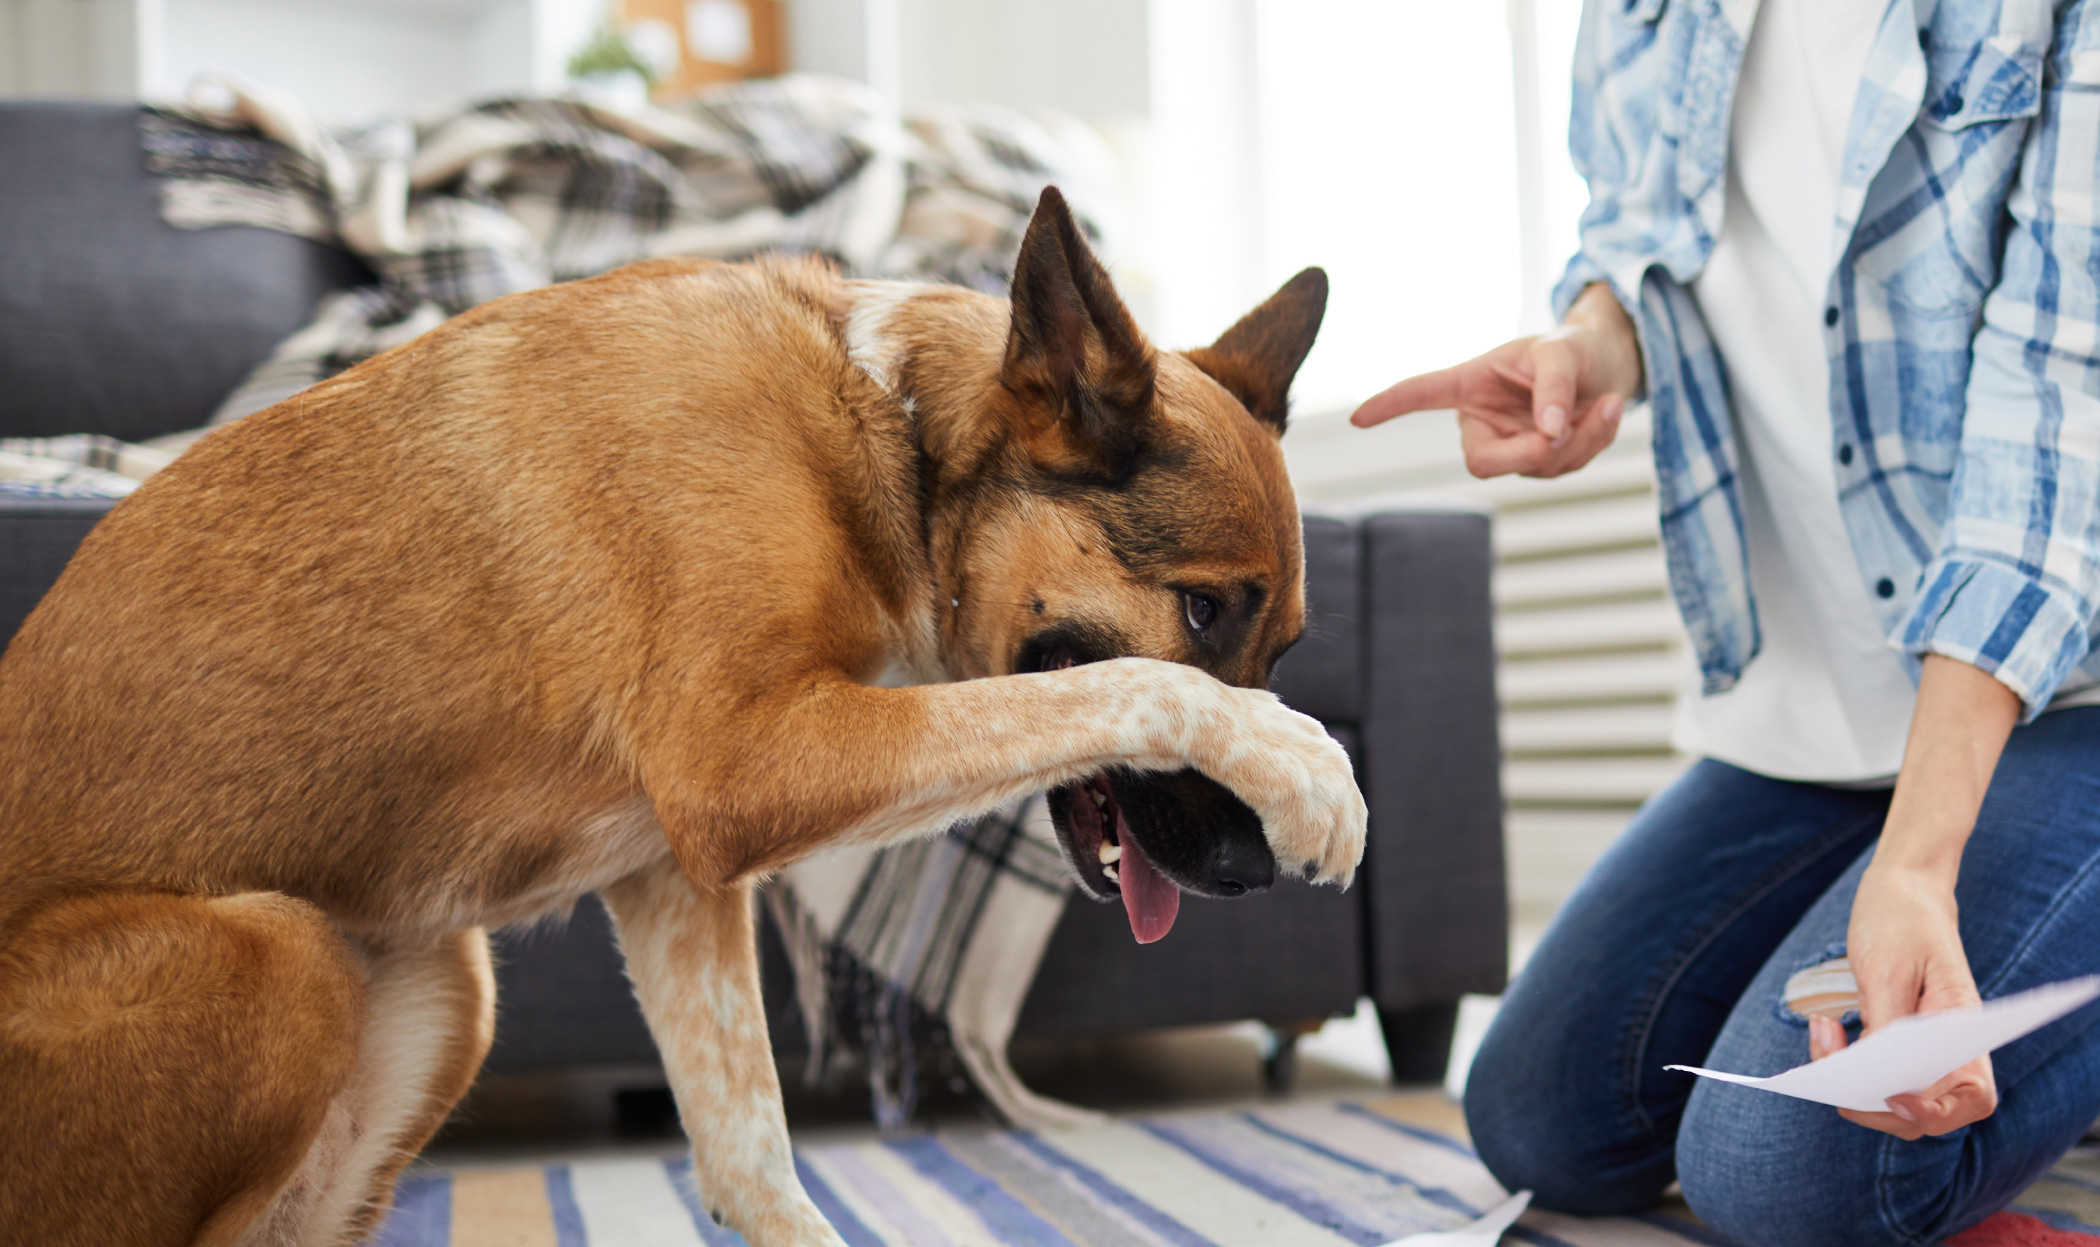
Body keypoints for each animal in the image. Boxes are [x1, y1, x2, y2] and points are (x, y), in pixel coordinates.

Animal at [0, 186, 1360, 1242]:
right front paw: (1307, 768)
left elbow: (750, 1151)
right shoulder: (742, 765)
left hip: (443, 982)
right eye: (1202, 611)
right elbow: (1119, 685)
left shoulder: (672, 877)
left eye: (1286, 644)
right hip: (283, 955)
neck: (889, 427)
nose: (1246, 871)